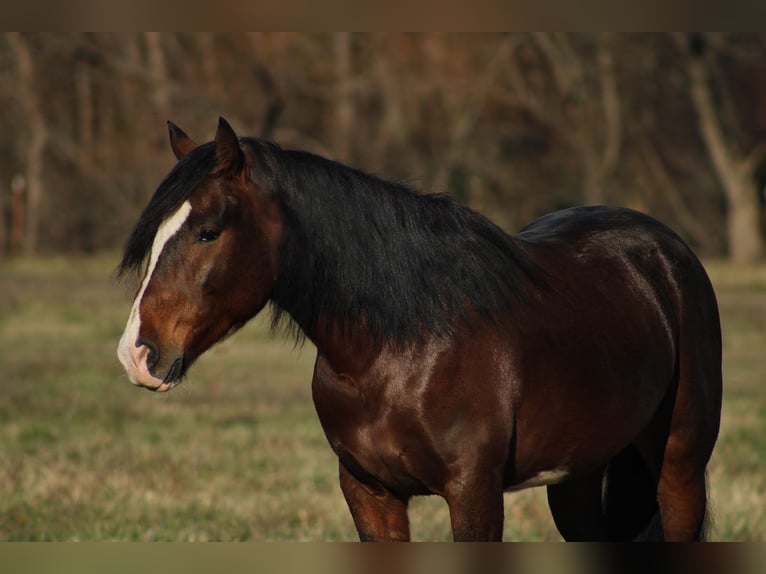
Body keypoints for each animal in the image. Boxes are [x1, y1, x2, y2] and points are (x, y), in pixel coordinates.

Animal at [117, 118, 722, 541]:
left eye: (208, 231)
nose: (136, 354)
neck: (400, 350)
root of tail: (665, 251)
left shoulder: (474, 493)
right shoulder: (369, 493)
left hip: (679, 466)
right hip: (577, 475)